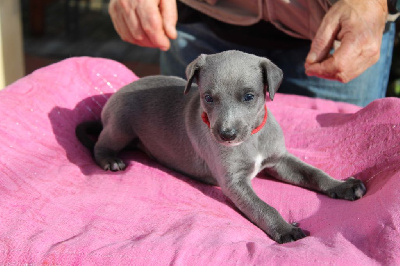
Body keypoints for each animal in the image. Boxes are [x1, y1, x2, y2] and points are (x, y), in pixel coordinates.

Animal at [75, 50, 366, 243]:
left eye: (249, 96)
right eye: (208, 98)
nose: (226, 135)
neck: (251, 139)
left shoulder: (280, 160)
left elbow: (314, 173)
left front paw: (342, 185)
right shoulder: (233, 182)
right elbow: (263, 207)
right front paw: (285, 229)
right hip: (120, 126)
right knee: (100, 144)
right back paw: (111, 160)